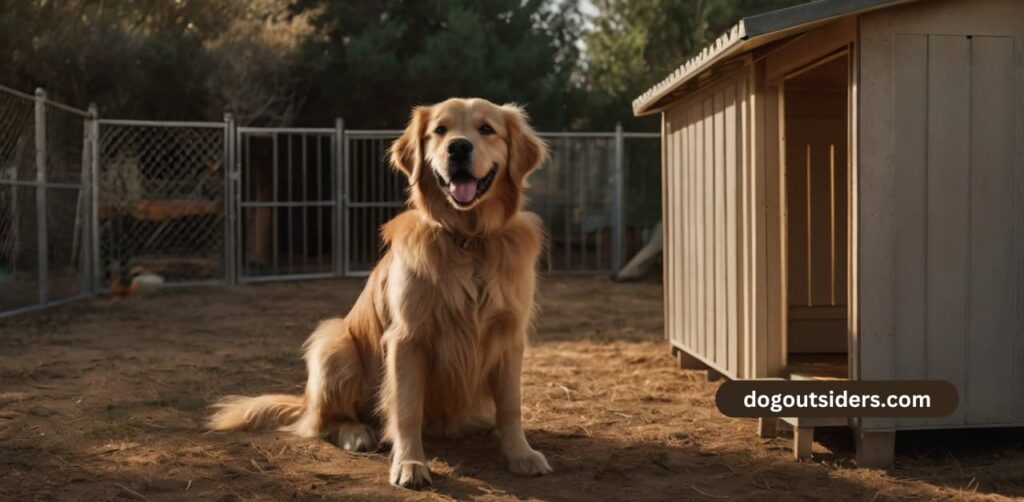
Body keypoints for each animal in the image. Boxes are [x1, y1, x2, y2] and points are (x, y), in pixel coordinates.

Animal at [206, 96, 552, 485]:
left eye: (486, 129)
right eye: (440, 130)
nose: (459, 147)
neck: (468, 240)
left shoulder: (510, 335)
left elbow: (510, 406)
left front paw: (521, 454)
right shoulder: (407, 338)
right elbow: (406, 408)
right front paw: (410, 463)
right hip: (333, 342)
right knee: (324, 421)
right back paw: (356, 433)